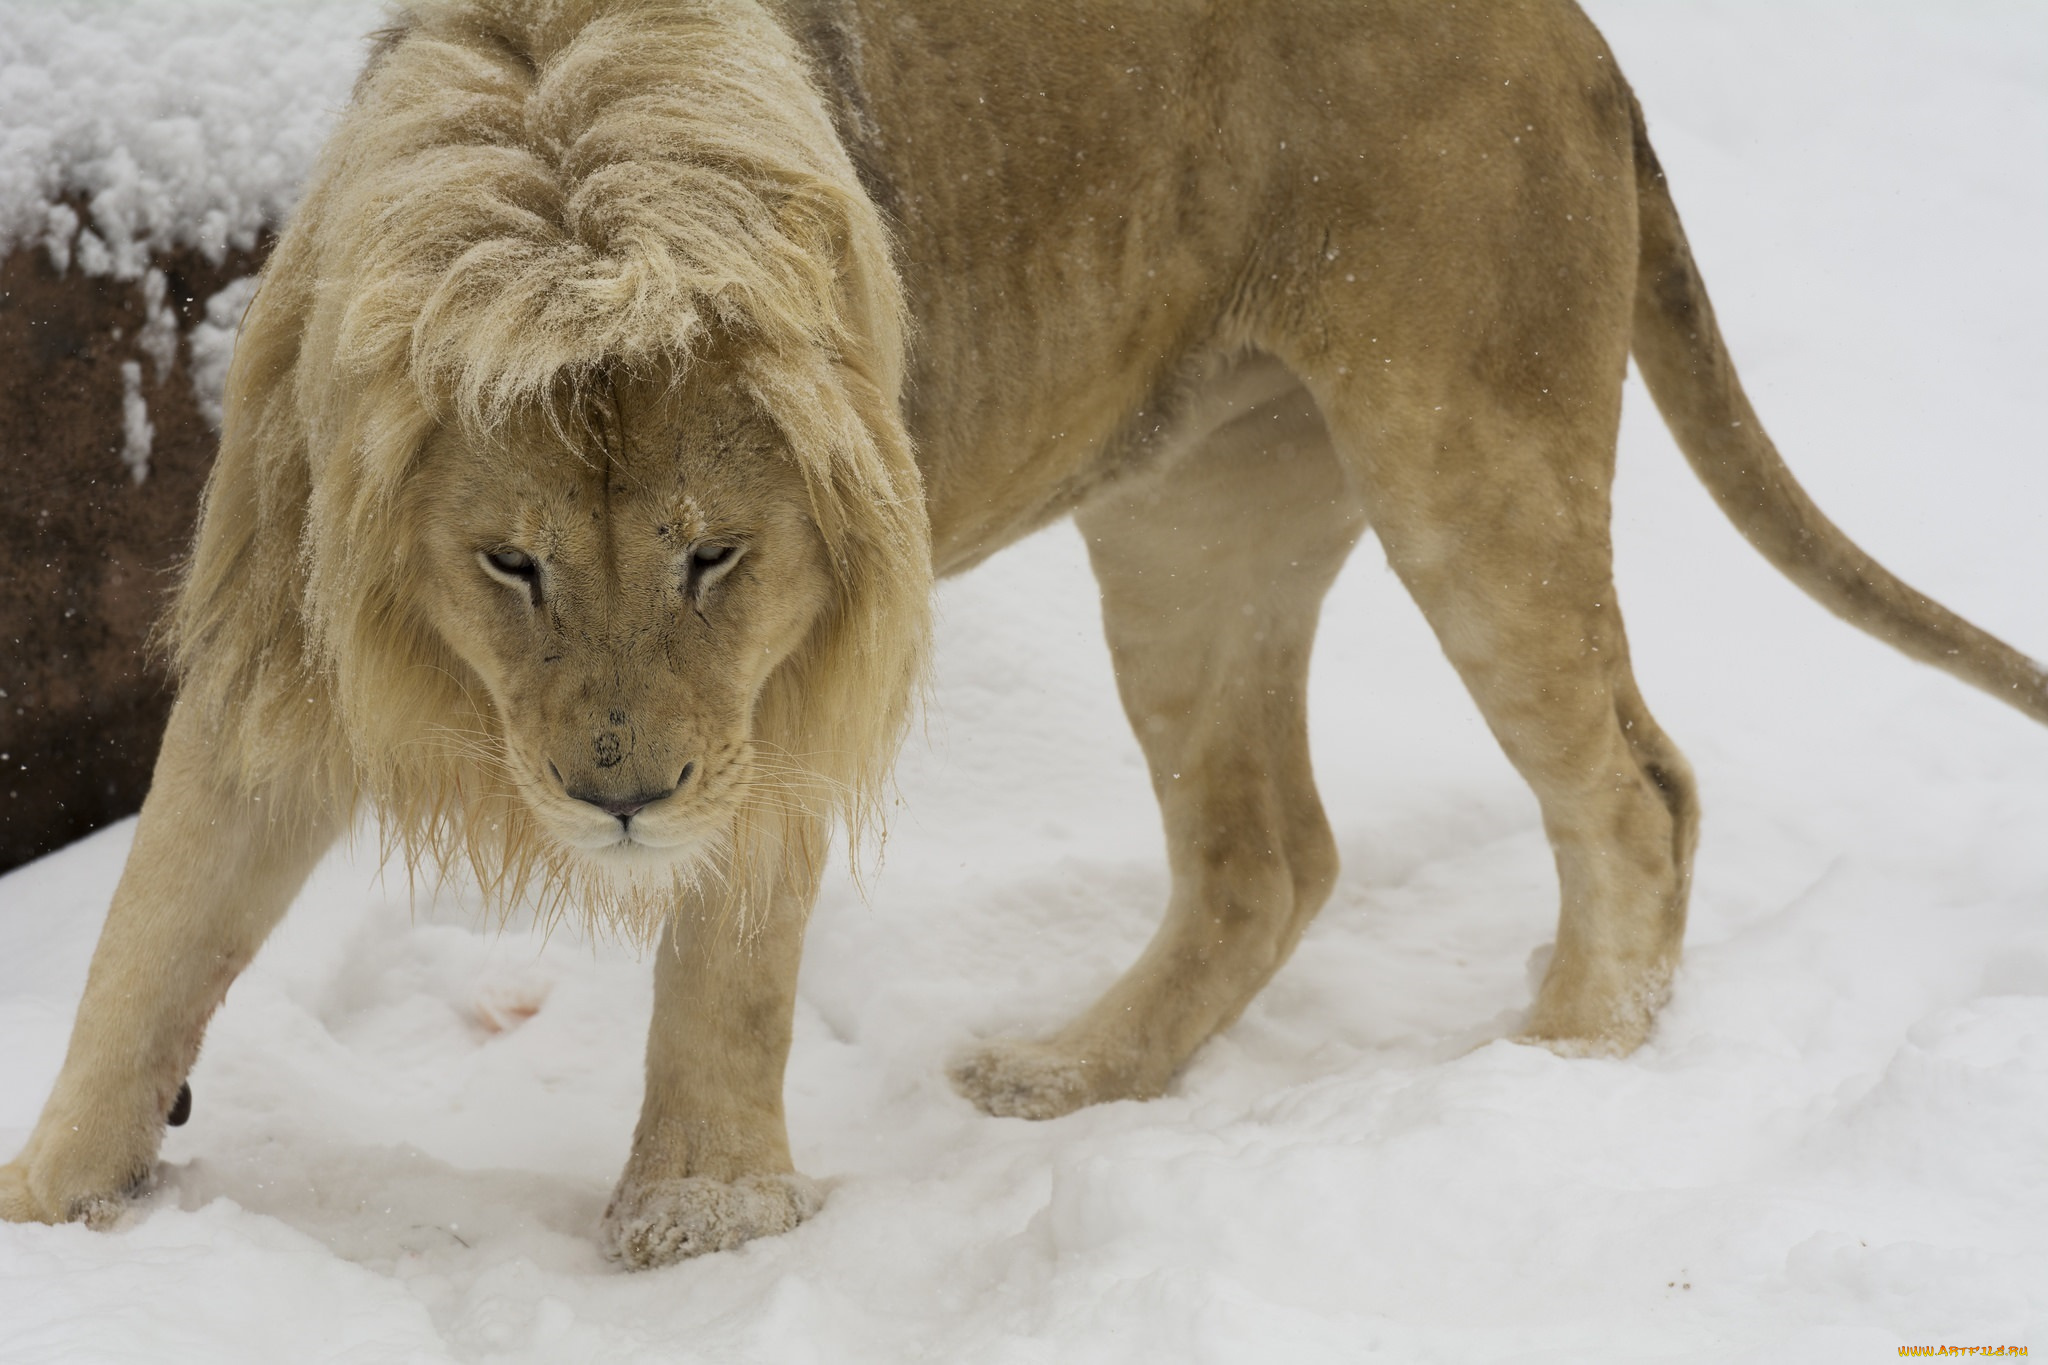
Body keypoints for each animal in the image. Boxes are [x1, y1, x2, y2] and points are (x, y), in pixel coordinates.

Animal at [4, 0, 2048, 1268]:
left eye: (712, 557)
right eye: (510, 565)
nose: (621, 801)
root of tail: (1584, 39)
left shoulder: (794, 686)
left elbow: (725, 972)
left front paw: (696, 1231)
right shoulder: (275, 660)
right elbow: (144, 952)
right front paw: (53, 1219)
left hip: (1467, 452)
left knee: (1635, 783)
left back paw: (1555, 1074)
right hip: (1188, 528)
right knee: (1269, 851)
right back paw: (1073, 1079)